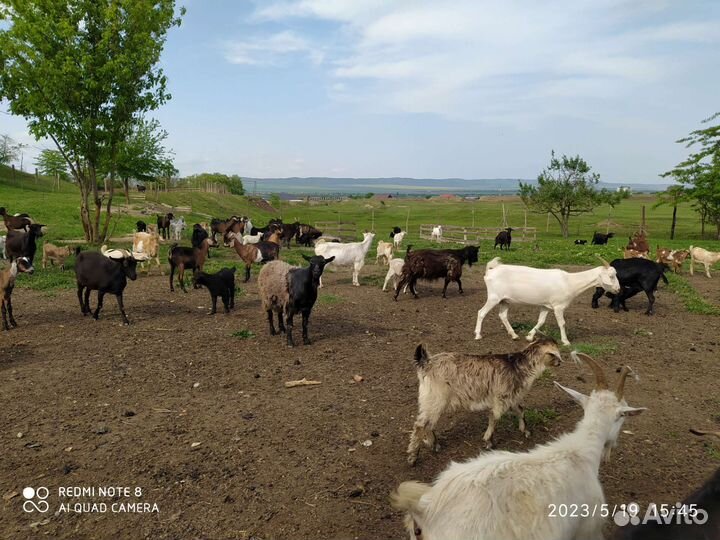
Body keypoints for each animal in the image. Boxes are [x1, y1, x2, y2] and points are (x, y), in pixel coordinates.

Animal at [407, 337, 562, 464]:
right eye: (554, 354)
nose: (561, 362)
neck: (519, 366)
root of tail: (426, 363)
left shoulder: (512, 397)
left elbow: (520, 411)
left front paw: (525, 431)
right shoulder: (501, 398)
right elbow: (495, 417)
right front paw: (489, 441)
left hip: (433, 401)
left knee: (428, 424)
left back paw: (434, 445)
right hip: (436, 399)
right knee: (420, 425)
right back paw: (413, 457)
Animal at [475, 257, 620, 346]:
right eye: (611, 276)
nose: (618, 289)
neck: (570, 282)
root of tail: (490, 271)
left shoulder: (546, 306)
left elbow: (541, 321)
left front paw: (529, 336)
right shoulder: (558, 306)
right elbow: (562, 323)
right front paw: (566, 341)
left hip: (504, 300)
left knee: (503, 315)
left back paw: (514, 335)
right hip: (494, 297)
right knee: (481, 312)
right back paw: (478, 335)